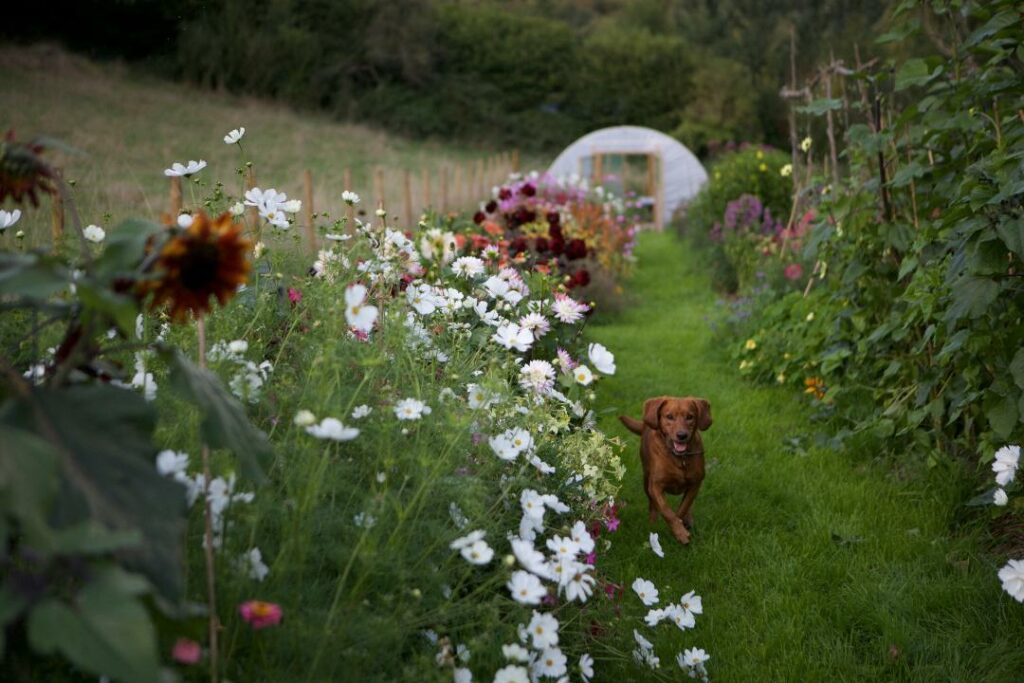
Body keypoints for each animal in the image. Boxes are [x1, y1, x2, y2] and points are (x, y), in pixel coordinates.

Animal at [614, 395, 712, 544]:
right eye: (669, 416)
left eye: (690, 417)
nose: (682, 435)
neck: (679, 458)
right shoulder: (655, 486)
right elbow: (666, 511)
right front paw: (679, 531)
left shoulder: (695, 484)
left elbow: (683, 507)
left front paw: (680, 528)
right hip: (646, 479)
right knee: (652, 505)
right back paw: (653, 522)